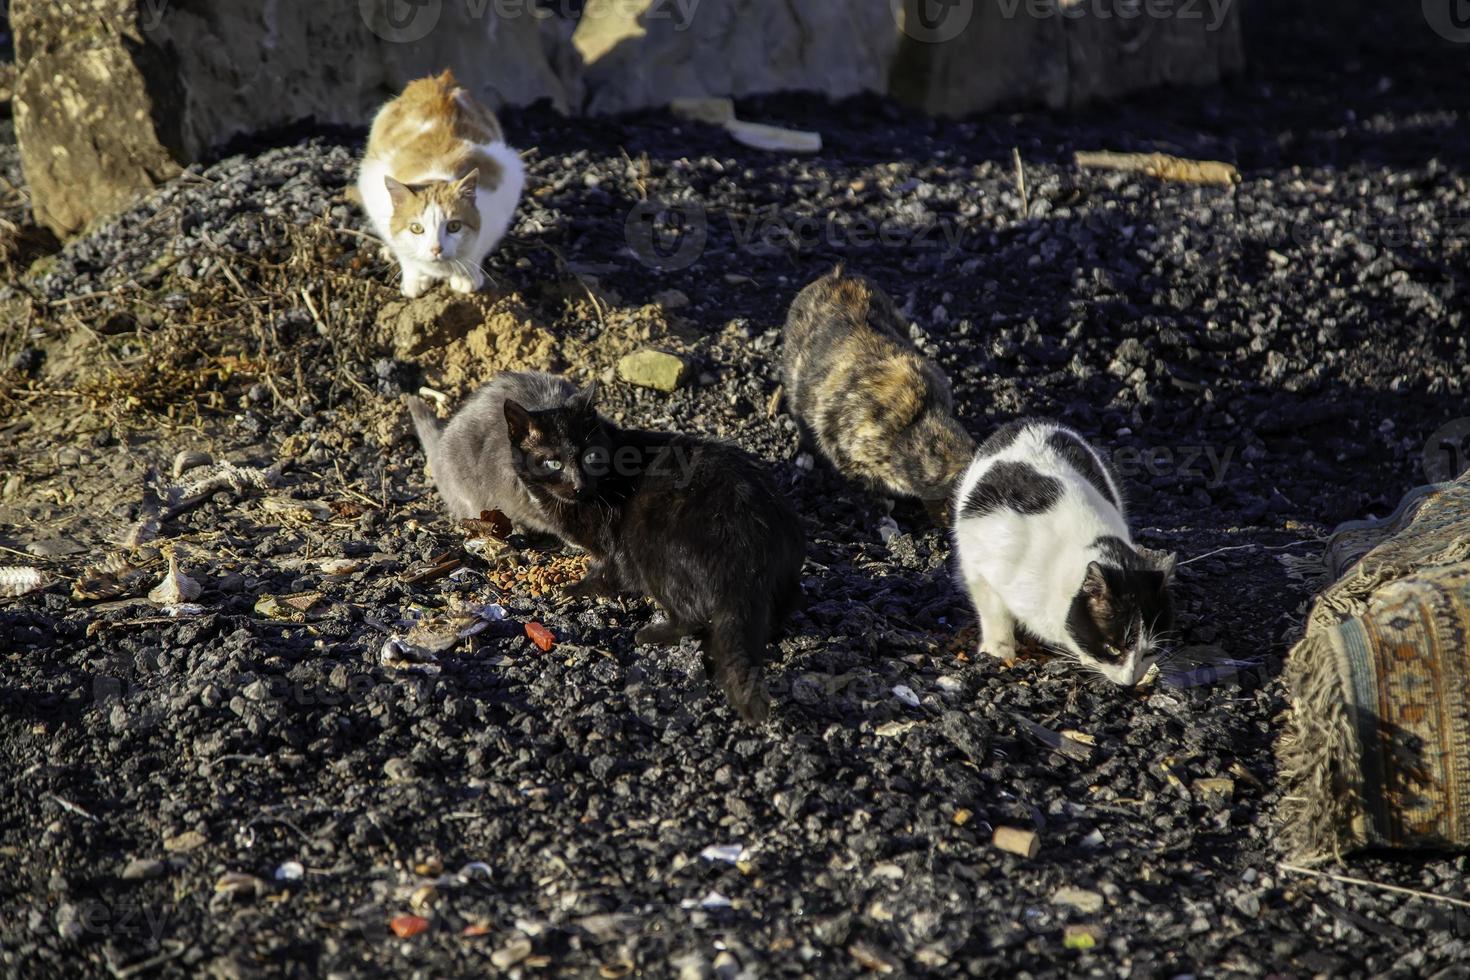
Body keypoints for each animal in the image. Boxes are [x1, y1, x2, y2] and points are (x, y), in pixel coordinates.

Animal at [358, 71, 526, 296]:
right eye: (416, 228)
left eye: (454, 226)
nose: (436, 248)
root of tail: (439, 80)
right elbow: (405, 253)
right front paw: (415, 279)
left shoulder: (504, 191)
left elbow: (477, 250)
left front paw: (466, 276)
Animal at [946, 417, 1176, 687]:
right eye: (1113, 648)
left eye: (1149, 653)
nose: (1128, 682)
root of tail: (1032, 421)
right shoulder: (982, 566)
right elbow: (994, 611)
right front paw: (998, 650)